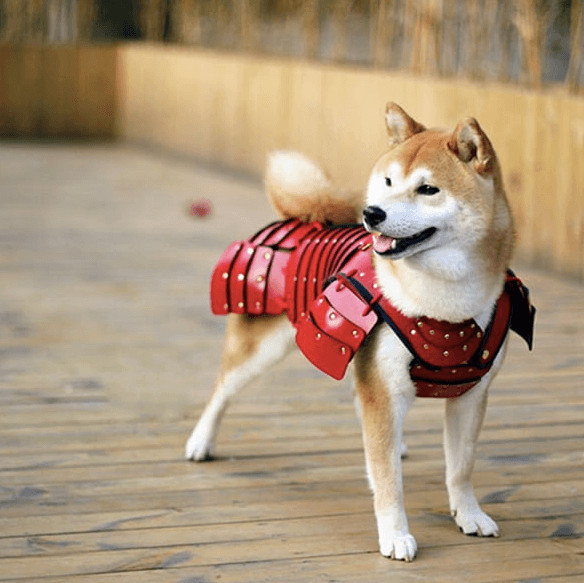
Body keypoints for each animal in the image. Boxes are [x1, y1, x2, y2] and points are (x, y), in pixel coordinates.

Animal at [184, 104, 532, 560]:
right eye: (388, 183)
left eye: (428, 190)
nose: (372, 214)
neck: (443, 299)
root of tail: (304, 216)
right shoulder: (383, 390)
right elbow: (388, 481)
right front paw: (395, 535)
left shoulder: (470, 395)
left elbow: (460, 467)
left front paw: (469, 514)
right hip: (259, 349)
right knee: (221, 390)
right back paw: (200, 442)